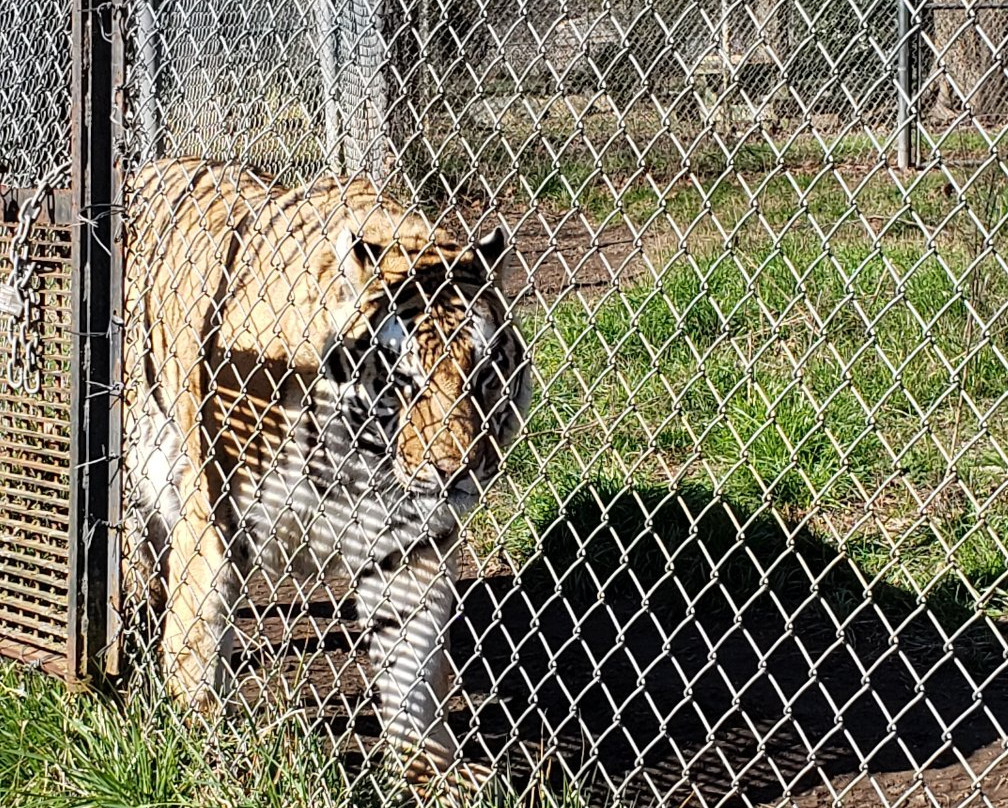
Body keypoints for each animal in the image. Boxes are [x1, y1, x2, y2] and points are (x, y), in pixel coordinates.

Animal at [122, 156, 531, 792]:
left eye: (485, 374)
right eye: (404, 382)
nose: (457, 474)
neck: (354, 459)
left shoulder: (408, 543)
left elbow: (413, 662)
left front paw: (436, 773)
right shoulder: (213, 511)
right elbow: (198, 635)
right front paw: (204, 748)